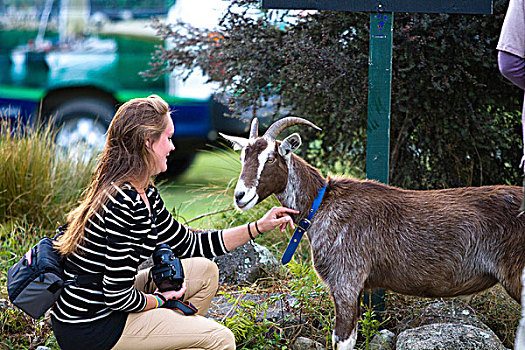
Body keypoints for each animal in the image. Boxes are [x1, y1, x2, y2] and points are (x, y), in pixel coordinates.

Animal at [220, 117, 524, 350]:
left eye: (271, 158)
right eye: (243, 156)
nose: (241, 196)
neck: (322, 203)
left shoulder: (345, 281)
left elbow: (342, 340)